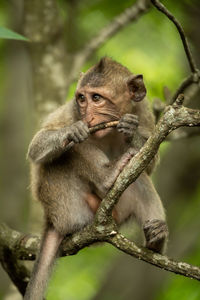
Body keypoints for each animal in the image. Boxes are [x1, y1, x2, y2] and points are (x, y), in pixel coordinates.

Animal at [24, 57, 169, 298]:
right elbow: (37, 147)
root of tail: (52, 218)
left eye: (97, 98)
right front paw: (72, 131)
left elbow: (150, 161)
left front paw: (131, 131)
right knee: (72, 150)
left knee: (138, 175)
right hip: (69, 208)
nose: (87, 116)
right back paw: (107, 177)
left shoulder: (145, 112)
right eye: (81, 98)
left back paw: (156, 240)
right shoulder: (71, 112)